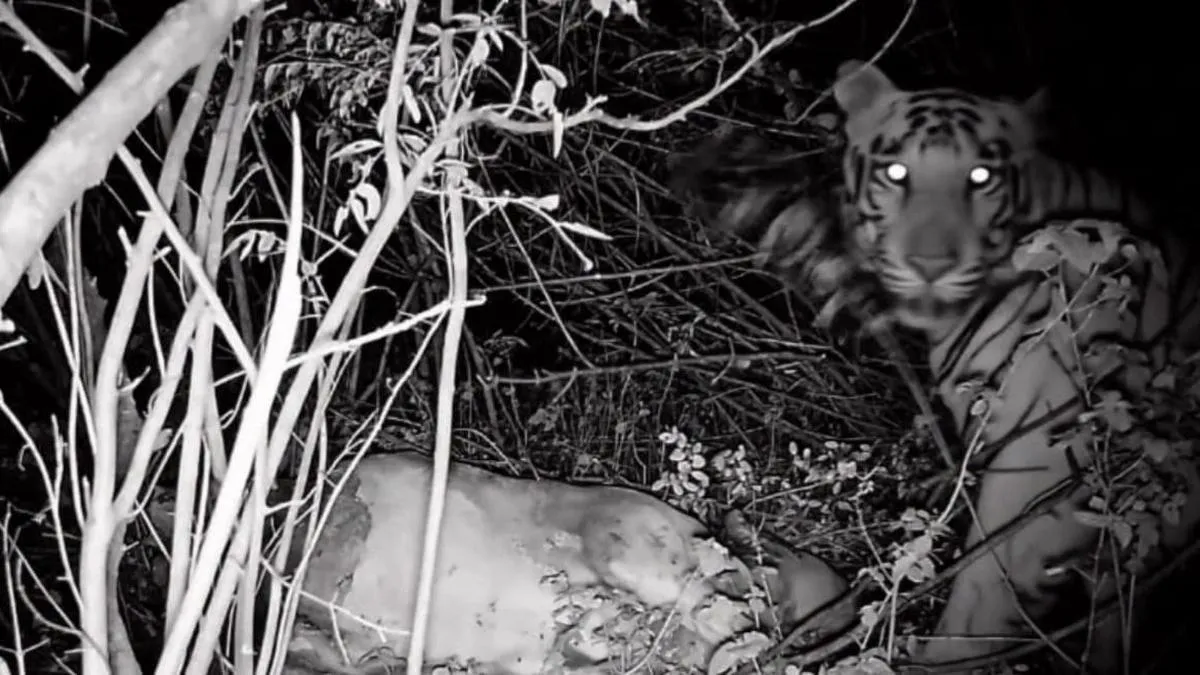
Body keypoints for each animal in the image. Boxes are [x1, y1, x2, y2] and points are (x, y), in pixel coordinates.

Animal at [671, 59, 1200, 673]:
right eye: (897, 172)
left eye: (981, 177)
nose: (929, 264)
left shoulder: (1038, 461)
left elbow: (981, 589)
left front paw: (923, 657)